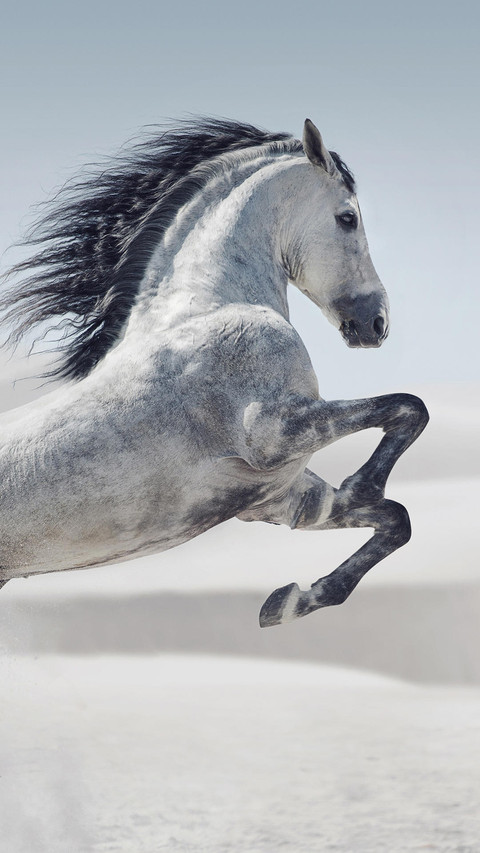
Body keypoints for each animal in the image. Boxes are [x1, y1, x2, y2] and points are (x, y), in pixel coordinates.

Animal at [0, 117, 428, 627]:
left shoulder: (282, 497)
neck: (208, 307)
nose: (375, 324)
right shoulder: (274, 432)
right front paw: (362, 484)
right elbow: (408, 407)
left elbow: (396, 519)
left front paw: (289, 603)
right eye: (348, 218)